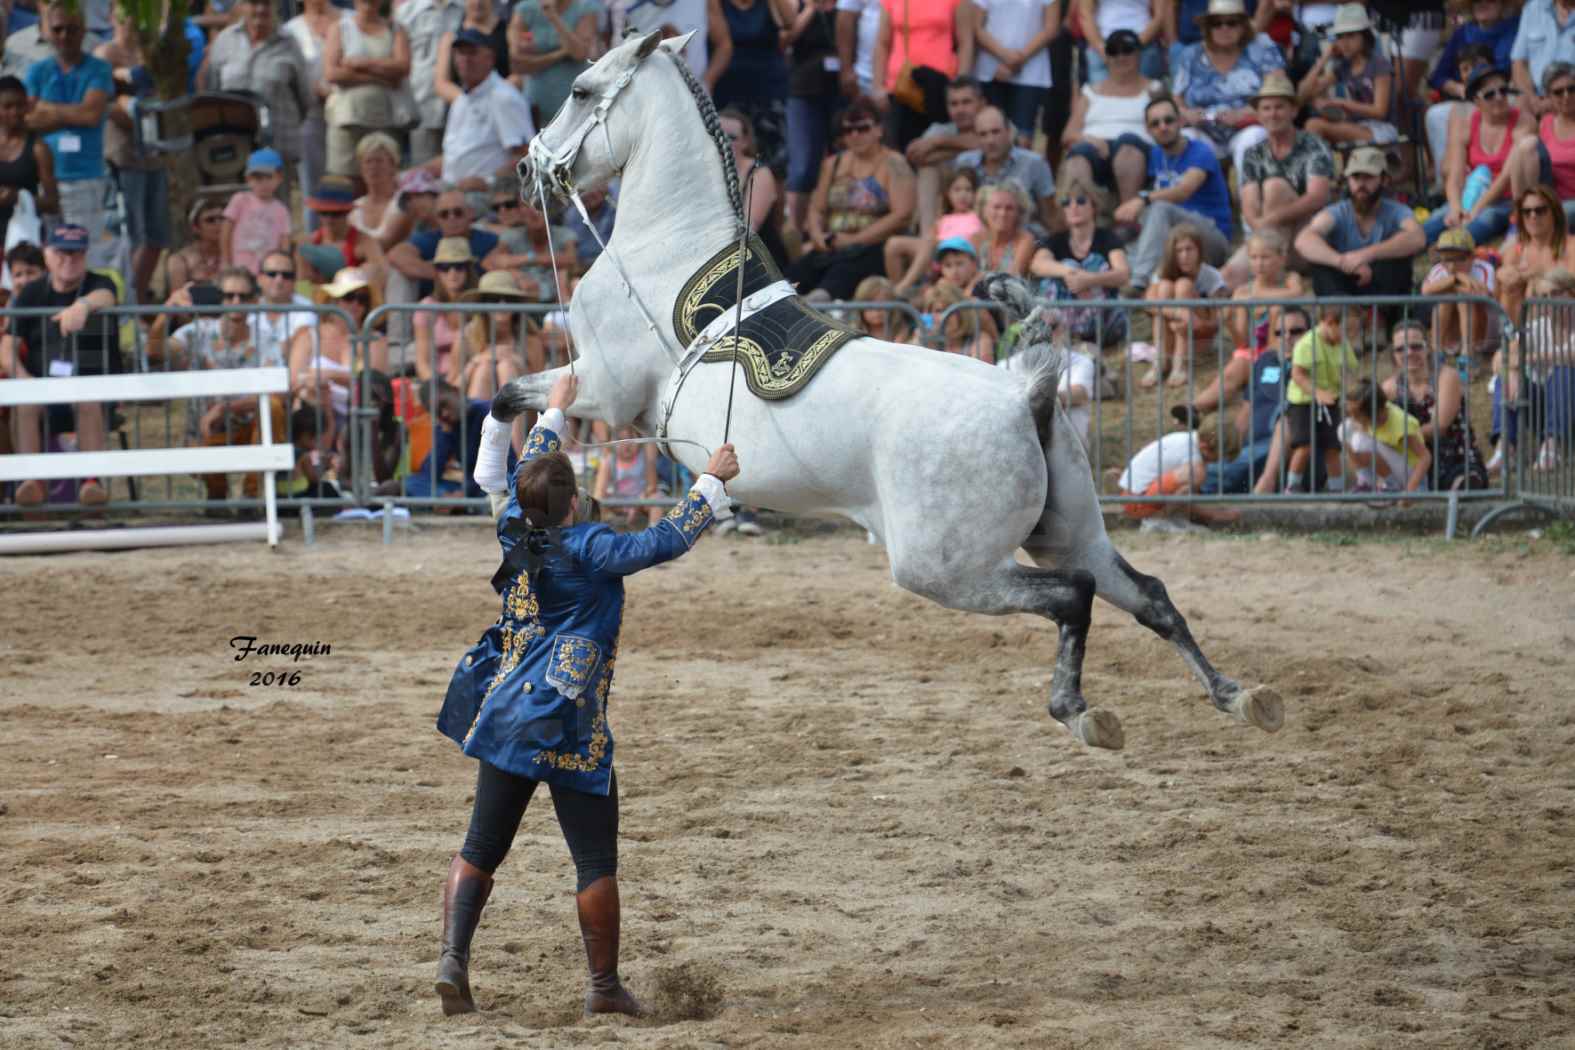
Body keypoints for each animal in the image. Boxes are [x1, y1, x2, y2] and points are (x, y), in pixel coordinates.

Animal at [497, 28, 1285, 752]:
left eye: (580, 92)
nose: (526, 171)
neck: (667, 251)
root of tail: (1022, 390)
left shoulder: (601, 388)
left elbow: (510, 398)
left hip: (945, 566)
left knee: (1073, 597)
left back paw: (1081, 711)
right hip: (1069, 530)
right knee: (1146, 596)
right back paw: (1239, 696)